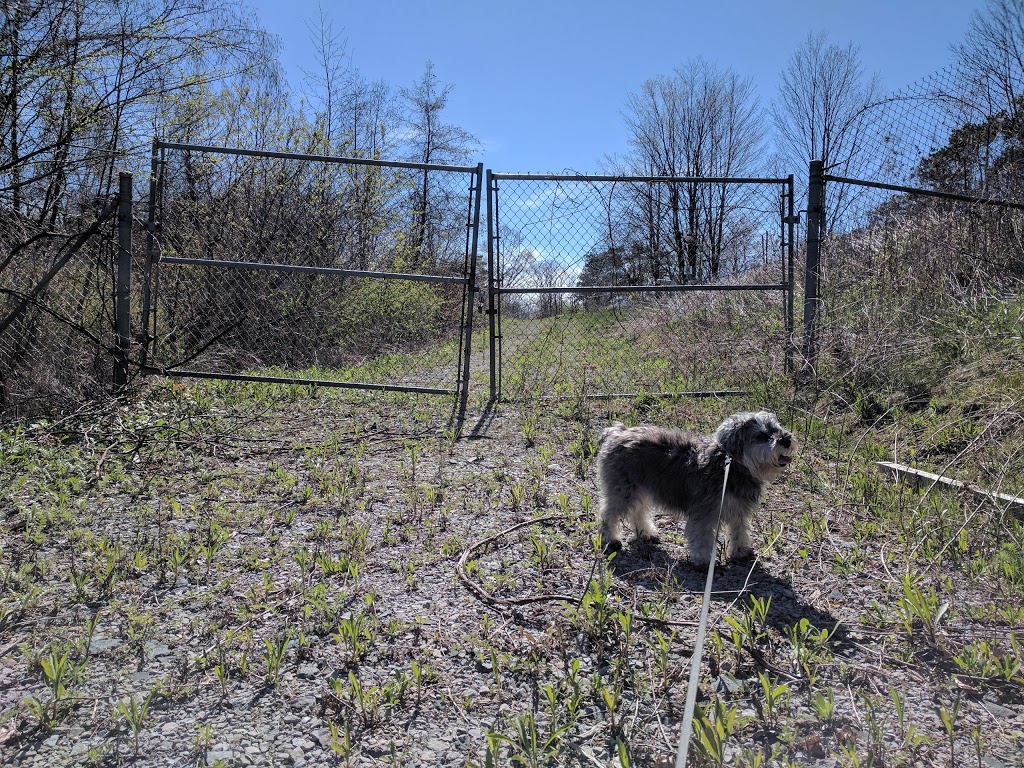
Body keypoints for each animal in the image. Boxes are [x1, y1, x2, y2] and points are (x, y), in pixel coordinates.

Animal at [593, 411, 798, 569]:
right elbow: (702, 537)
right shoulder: (705, 514)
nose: (786, 439)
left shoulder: (738, 511)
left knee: (638, 512)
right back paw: (610, 539)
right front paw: (703, 560)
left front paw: (740, 552)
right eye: (761, 436)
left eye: (777, 428)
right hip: (622, 491)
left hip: (640, 489)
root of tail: (617, 432)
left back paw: (647, 533)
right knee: (608, 514)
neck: (731, 466)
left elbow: (739, 532)